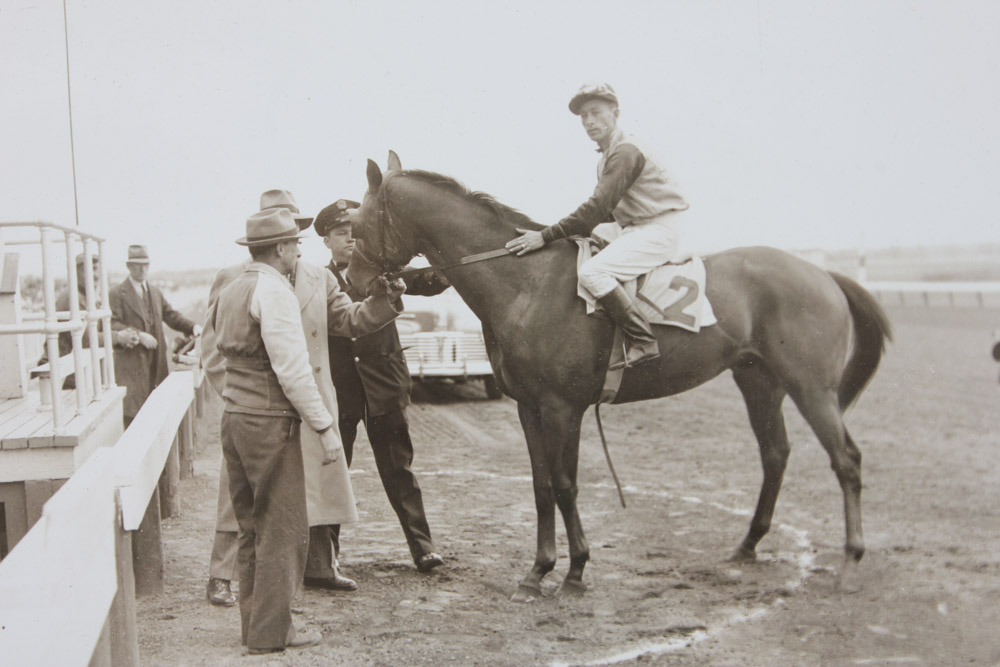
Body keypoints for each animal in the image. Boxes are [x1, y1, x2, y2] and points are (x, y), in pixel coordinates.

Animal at [347, 153, 892, 602]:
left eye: (360, 223)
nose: (352, 281)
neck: (527, 284)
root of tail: (823, 274)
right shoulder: (528, 406)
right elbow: (541, 487)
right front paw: (538, 571)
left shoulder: (562, 407)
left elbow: (566, 484)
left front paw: (574, 572)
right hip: (760, 382)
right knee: (775, 454)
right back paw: (747, 545)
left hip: (811, 387)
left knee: (846, 460)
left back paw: (850, 562)